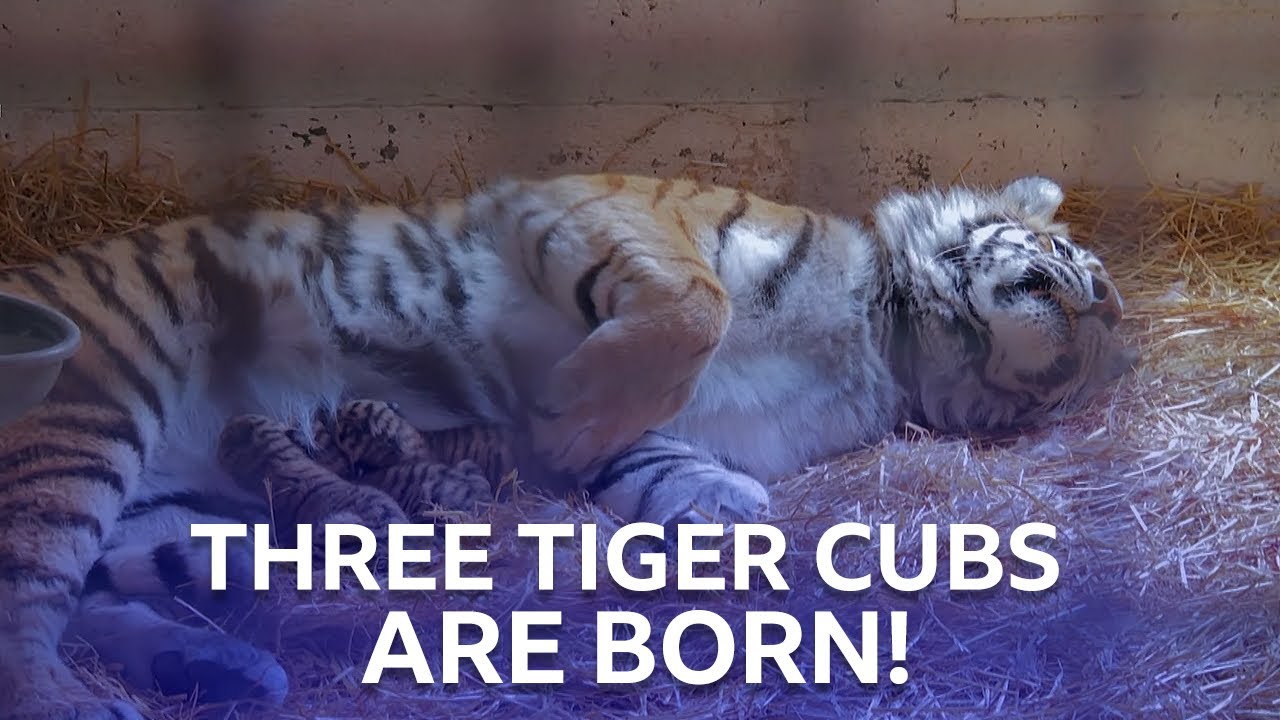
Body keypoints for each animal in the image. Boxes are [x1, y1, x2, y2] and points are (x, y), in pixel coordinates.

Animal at [0, 172, 1137, 719]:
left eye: (1095, 308)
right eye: (1070, 261)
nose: (1099, 302)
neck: (887, 336)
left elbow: (656, 459)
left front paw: (721, 511)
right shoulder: (603, 211)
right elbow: (694, 308)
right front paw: (568, 403)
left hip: (176, 498)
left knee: (95, 589)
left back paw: (219, 664)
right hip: (88, 412)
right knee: (28, 595)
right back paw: (80, 706)